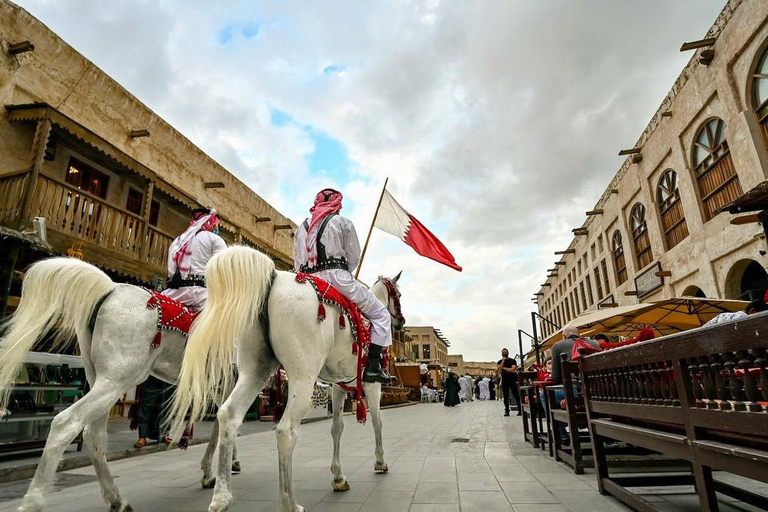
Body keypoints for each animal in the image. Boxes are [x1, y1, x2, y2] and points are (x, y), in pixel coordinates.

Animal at [0, 260, 243, 512]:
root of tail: (111, 289)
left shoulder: (220, 385)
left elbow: (221, 423)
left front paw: (214, 471)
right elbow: (226, 422)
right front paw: (225, 467)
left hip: (99, 378)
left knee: (94, 434)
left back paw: (116, 498)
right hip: (116, 379)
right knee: (66, 424)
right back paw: (34, 501)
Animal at [169, 244, 404, 512]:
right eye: (399, 294)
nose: (401, 321)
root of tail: (273, 279)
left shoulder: (338, 387)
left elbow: (337, 428)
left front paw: (339, 476)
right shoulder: (371, 385)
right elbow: (377, 422)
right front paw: (380, 462)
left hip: (255, 371)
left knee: (228, 416)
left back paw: (221, 496)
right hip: (303, 378)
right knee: (285, 431)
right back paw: (289, 502)